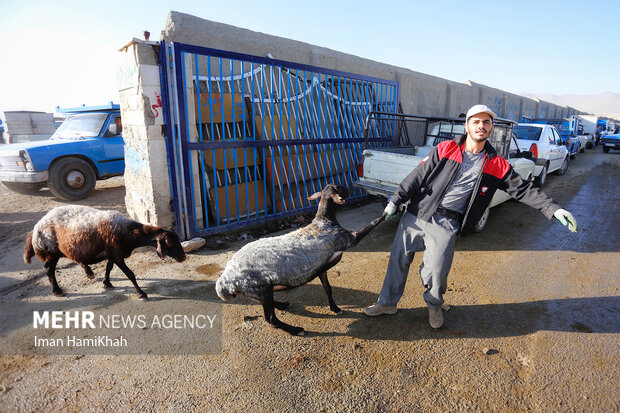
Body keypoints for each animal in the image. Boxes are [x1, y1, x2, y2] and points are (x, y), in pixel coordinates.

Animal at [23, 204, 186, 298]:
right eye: (169, 243)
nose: (183, 257)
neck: (128, 232)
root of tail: (35, 229)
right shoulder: (117, 254)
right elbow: (130, 274)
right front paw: (141, 293)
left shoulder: (111, 253)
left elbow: (109, 268)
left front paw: (106, 283)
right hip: (52, 252)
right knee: (49, 270)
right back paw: (57, 291)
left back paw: (87, 272)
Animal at [217, 183, 382, 334]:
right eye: (339, 188)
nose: (349, 188)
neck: (324, 221)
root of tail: (226, 280)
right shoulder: (349, 239)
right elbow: (371, 224)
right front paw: (388, 210)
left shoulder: (322, 268)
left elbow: (328, 288)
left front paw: (335, 308)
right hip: (259, 287)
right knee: (271, 319)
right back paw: (296, 330)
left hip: (255, 291)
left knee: (264, 304)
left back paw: (282, 305)